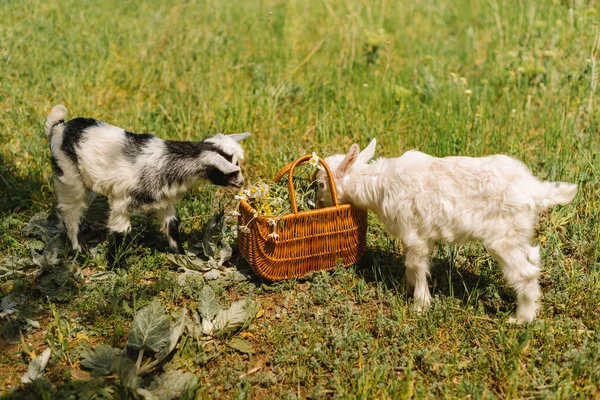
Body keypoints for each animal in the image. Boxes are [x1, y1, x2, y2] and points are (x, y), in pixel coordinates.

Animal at [45, 105, 250, 266]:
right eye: (232, 170)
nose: (241, 183)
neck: (169, 161)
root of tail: (60, 127)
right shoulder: (122, 203)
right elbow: (121, 232)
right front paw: (117, 265)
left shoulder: (164, 201)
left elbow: (171, 225)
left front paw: (181, 255)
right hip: (69, 176)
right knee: (71, 212)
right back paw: (81, 250)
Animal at [316, 140, 580, 322]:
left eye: (319, 184)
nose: (316, 204)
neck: (377, 184)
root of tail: (535, 190)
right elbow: (411, 265)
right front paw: (407, 289)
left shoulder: (413, 234)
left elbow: (416, 265)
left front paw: (419, 305)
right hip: (519, 232)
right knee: (533, 257)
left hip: (502, 239)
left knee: (525, 273)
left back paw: (521, 319)